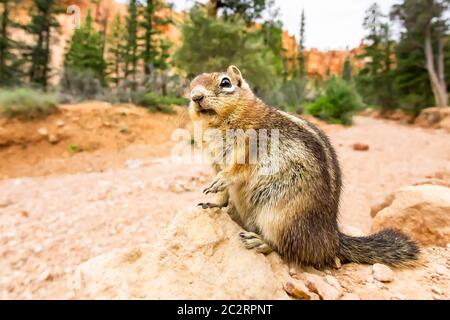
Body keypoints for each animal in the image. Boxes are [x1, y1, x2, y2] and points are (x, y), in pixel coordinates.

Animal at [188, 64, 420, 268]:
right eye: (190, 86)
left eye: (225, 82)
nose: (195, 97)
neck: (220, 124)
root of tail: (331, 238)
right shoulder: (215, 161)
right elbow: (223, 193)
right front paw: (212, 203)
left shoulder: (250, 146)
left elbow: (236, 171)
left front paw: (221, 181)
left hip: (280, 218)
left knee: (287, 248)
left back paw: (259, 241)